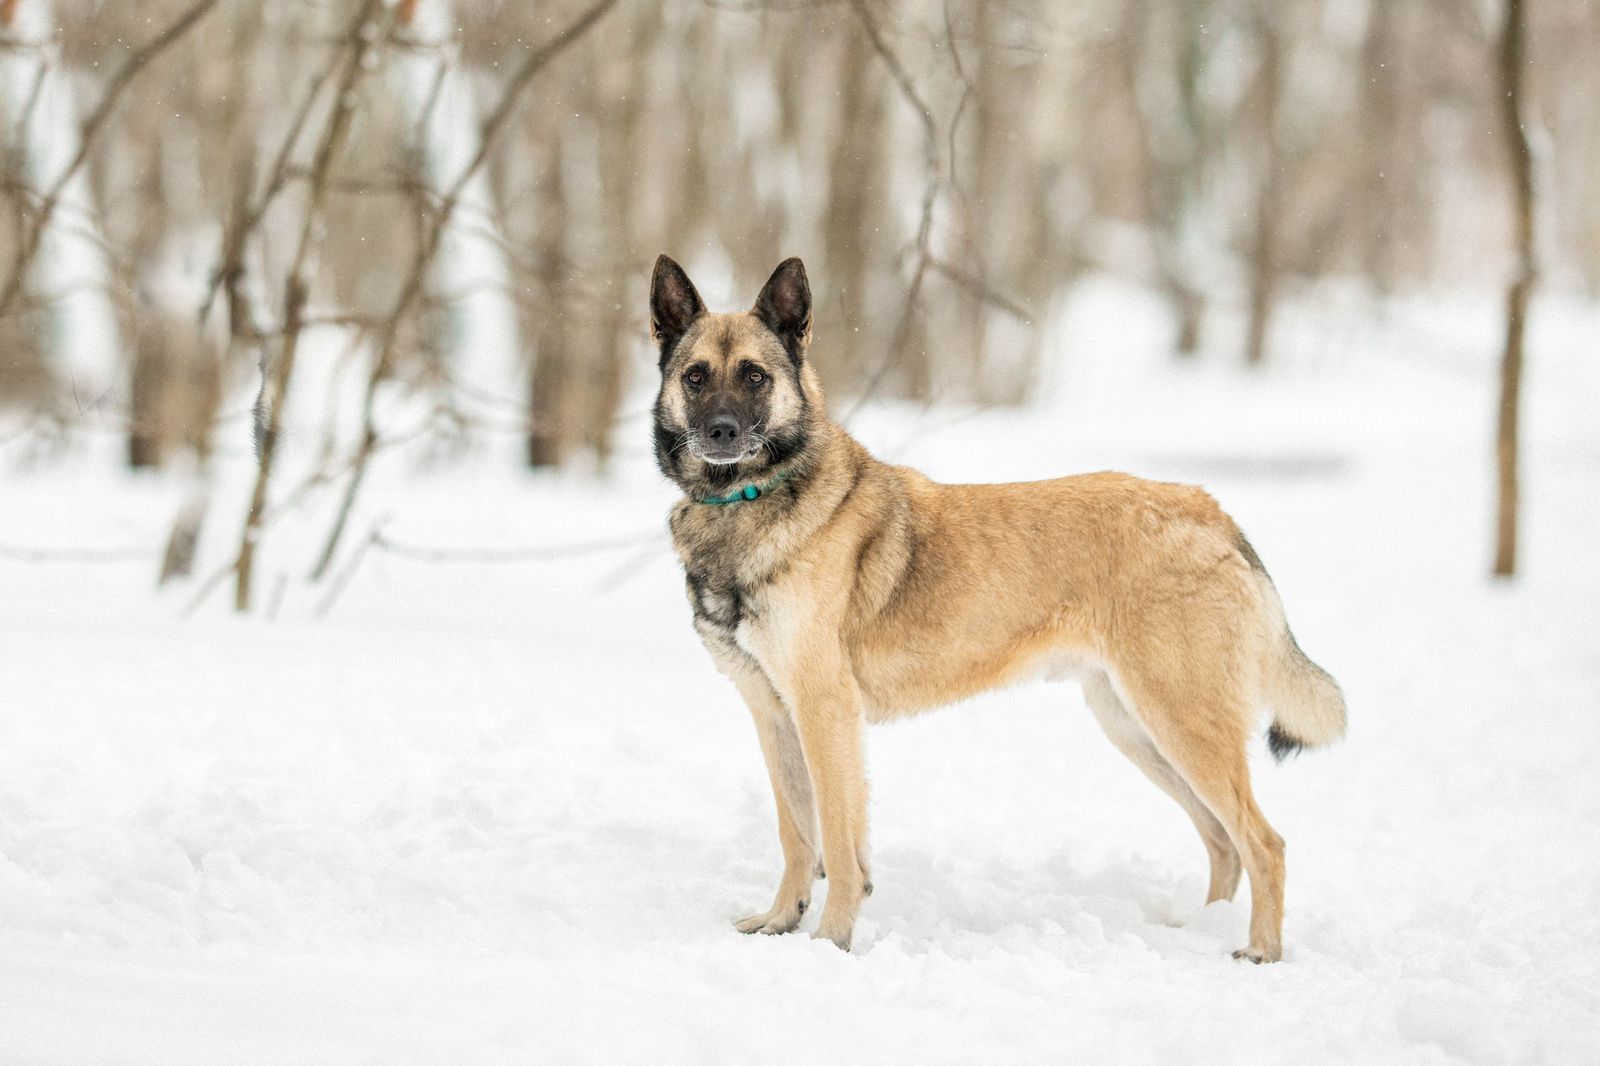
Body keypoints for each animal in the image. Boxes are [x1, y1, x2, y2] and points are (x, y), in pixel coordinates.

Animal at [650, 254, 1345, 961]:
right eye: (696, 376)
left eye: (755, 376)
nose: (721, 433)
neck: (750, 502)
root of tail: (1206, 507)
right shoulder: (773, 713)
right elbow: (799, 835)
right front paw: (780, 924)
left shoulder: (824, 711)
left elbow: (839, 848)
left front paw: (832, 940)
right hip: (1138, 728)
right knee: (1222, 841)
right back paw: (1198, 931)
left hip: (1181, 721)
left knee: (1264, 842)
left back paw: (1259, 953)